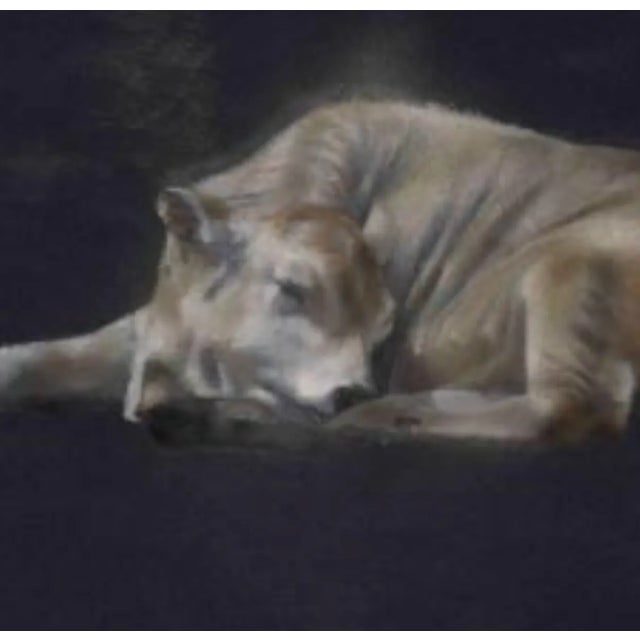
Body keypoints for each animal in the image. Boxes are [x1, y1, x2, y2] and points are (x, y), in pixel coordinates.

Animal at [3, 100, 640, 449]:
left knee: (567, 406)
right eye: (290, 288)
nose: (355, 387)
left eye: (383, 328)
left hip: (570, 270)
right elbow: (44, 357)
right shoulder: (143, 330)